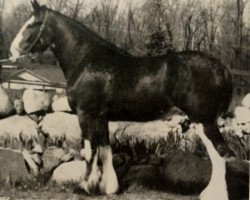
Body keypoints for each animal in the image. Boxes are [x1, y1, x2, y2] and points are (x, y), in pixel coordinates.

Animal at [9, 0, 232, 194]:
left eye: (32, 24)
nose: (12, 51)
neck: (87, 60)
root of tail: (219, 66)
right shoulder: (101, 117)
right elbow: (105, 150)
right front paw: (108, 188)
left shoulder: (86, 114)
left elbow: (90, 151)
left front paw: (85, 187)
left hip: (203, 120)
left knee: (219, 152)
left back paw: (213, 194)